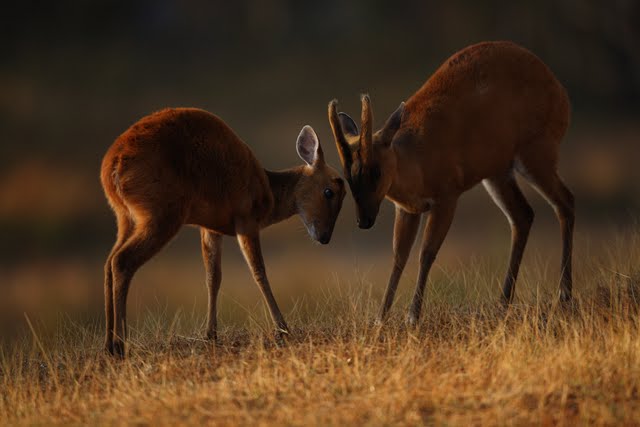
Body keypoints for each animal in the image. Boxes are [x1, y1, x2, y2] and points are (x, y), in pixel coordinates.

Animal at [101, 108, 344, 358]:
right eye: (330, 191)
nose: (324, 237)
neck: (268, 189)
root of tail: (113, 165)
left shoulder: (210, 229)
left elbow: (213, 277)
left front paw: (211, 334)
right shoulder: (246, 222)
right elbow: (259, 272)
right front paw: (283, 329)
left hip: (125, 218)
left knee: (109, 262)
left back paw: (108, 344)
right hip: (161, 219)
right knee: (122, 261)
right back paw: (120, 345)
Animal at [330, 41, 576, 326]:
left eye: (376, 171)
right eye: (348, 176)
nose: (364, 221)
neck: (416, 160)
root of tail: (560, 91)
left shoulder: (447, 198)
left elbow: (426, 252)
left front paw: (413, 317)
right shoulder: (407, 209)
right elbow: (399, 256)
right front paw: (381, 319)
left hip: (536, 155)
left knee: (565, 201)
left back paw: (564, 295)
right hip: (497, 173)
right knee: (523, 215)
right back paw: (503, 301)